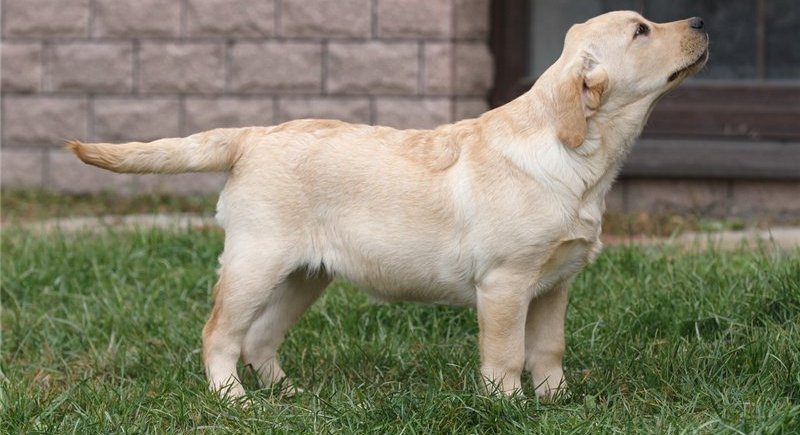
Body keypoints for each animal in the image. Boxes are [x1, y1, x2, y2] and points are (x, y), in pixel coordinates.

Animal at [68, 11, 708, 400]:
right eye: (642, 31)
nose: (701, 20)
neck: (574, 148)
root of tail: (253, 134)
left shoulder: (554, 283)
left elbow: (547, 348)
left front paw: (557, 403)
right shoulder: (506, 283)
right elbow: (505, 354)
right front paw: (508, 406)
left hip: (304, 274)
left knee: (259, 338)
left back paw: (287, 397)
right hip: (257, 261)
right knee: (219, 334)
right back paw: (234, 401)